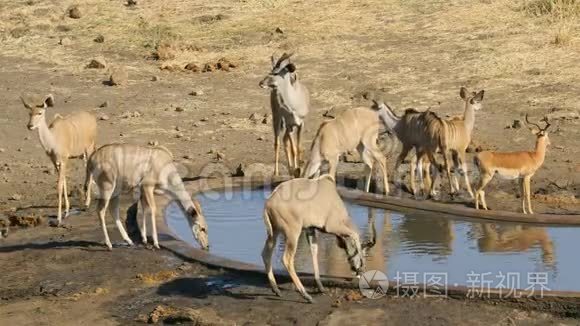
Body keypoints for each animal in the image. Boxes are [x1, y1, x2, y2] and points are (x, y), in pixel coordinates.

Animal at [20, 94, 96, 225]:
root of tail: (93, 118)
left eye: (40, 113)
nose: (30, 126)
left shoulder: (64, 160)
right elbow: (64, 181)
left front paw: (59, 218)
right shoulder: (55, 162)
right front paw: (66, 211)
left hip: (89, 148)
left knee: (90, 169)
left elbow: (60, 185)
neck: (53, 140)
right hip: (82, 154)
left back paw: (87, 204)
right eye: (29, 113)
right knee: (87, 168)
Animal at [262, 176, 372, 304]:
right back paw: (306, 295)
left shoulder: (310, 230)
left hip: (274, 233)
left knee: (265, 254)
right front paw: (362, 267)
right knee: (287, 259)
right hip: (292, 234)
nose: (355, 269)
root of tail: (269, 203)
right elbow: (355, 234)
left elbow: (314, 252)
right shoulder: (332, 227)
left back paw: (276, 290)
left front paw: (321, 287)